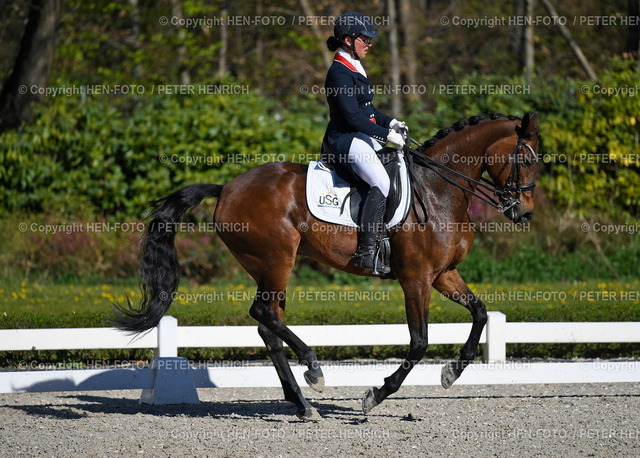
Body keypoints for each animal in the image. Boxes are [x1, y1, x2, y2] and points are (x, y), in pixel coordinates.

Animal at [114, 112, 540, 420]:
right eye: (526, 159)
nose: (524, 213)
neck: (438, 192)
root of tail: (228, 188)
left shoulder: (443, 275)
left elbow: (481, 313)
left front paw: (452, 372)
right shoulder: (416, 279)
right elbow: (419, 342)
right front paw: (375, 395)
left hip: (268, 267)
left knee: (267, 324)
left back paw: (303, 404)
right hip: (277, 259)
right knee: (264, 314)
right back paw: (313, 370)